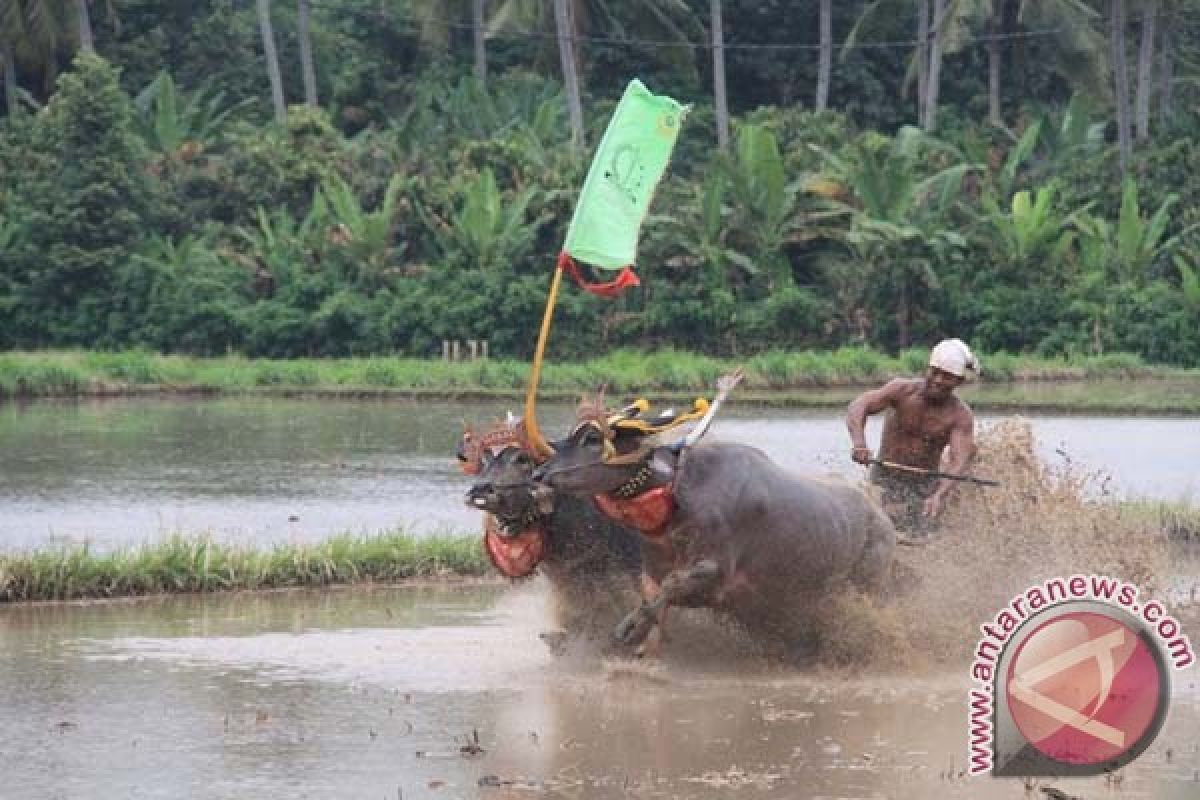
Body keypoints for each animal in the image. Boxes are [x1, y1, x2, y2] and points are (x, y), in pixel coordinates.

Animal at [530, 410, 897, 662]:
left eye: (592, 439)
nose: (539, 473)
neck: (676, 495)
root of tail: (883, 520)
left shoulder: (717, 576)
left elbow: (673, 585)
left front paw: (629, 630)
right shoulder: (654, 570)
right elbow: (657, 598)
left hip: (869, 586)